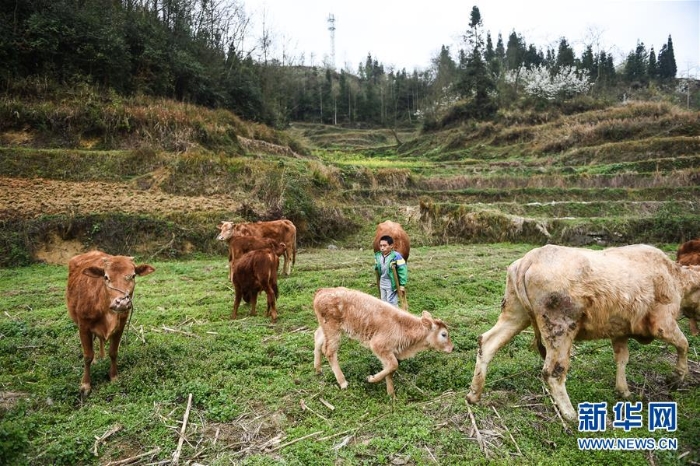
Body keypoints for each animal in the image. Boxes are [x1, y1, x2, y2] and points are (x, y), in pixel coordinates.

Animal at [66, 251, 155, 396]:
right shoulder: (83, 326)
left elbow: (113, 352)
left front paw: (113, 377)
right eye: (106, 277)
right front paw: (85, 384)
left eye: (133, 275)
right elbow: (87, 356)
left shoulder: (121, 326)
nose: (121, 302)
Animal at [312, 286, 454, 396]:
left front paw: (391, 395)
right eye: (444, 334)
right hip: (333, 329)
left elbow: (390, 370)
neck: (403, 326)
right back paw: (343, 382)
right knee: (329, 351)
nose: (452, 348)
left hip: (325, 327)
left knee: (318, 338)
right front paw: (371, 379)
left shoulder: (388, 352)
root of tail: (322, 290)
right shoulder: (378, 345)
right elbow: (394, 365)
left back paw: (318, 369)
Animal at [464, 244, 700, 422]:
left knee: (487, 343)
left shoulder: (619, 330)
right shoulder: (662, 323)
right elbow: (683, 343)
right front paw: (677, 377)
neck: (676, 278)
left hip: (515, 313)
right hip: (559, 327)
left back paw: (474, 395)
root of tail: (529, 259)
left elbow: (622, 359)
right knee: (553, 372)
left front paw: (623, 390)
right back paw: (571, 415)